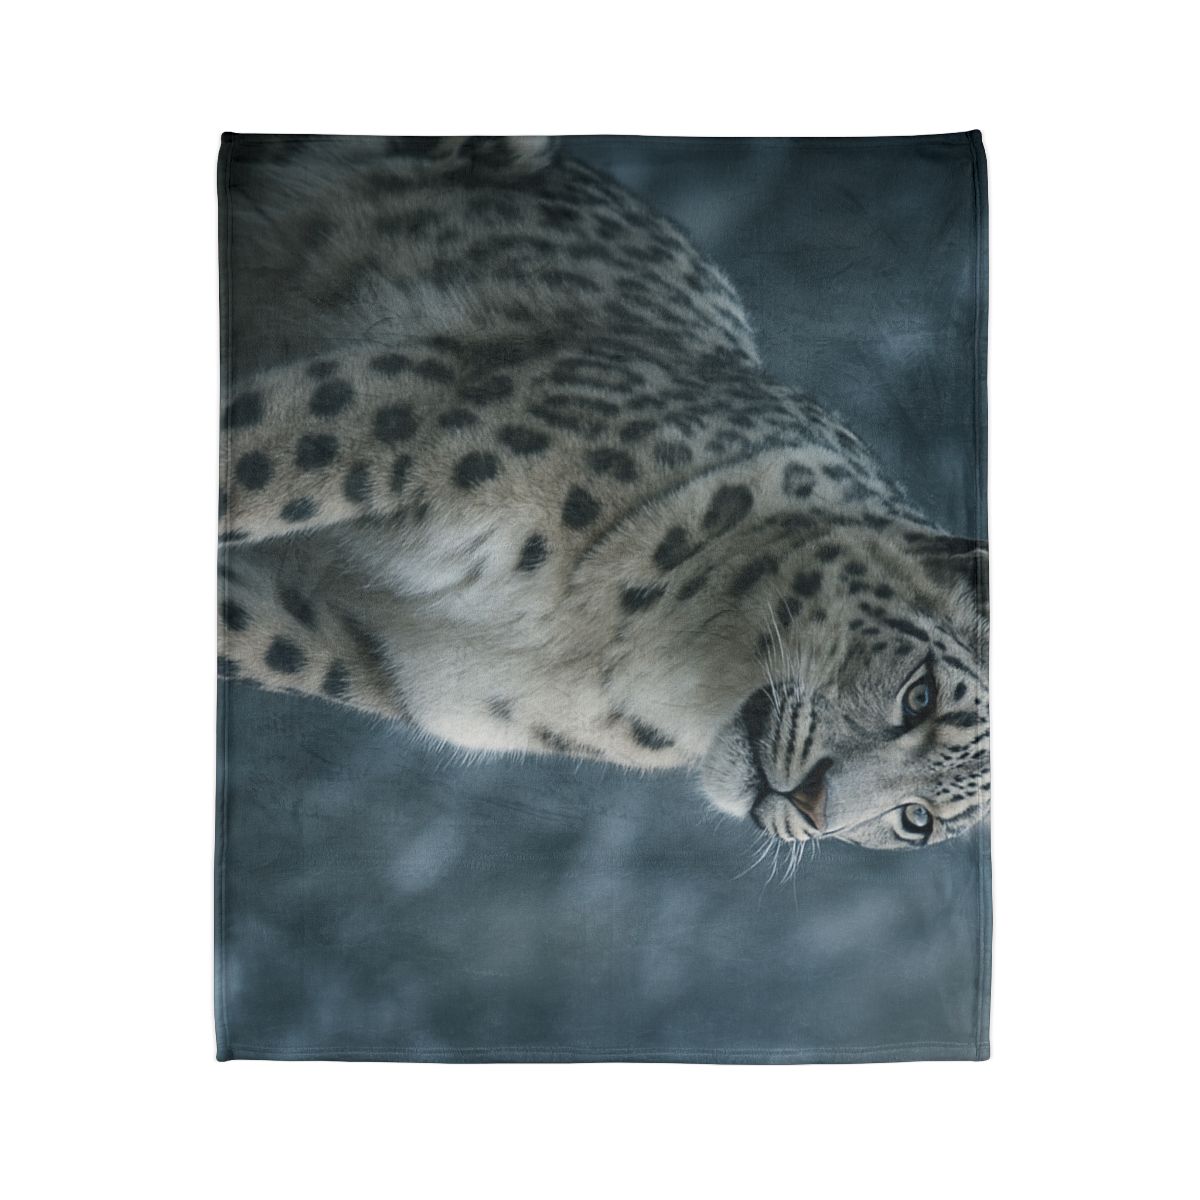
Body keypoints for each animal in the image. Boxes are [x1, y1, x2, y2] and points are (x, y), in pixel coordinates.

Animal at [218, 134, 989, 852]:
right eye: (920, 694)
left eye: (916, 820)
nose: (812, 803)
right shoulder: (409, 420)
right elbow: (247, 468)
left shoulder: (368, 653)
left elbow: (246, 630)